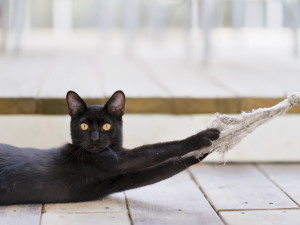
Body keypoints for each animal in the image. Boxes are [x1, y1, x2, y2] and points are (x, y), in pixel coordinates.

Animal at [0, 90, 220, 205]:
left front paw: (210, 149)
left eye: (106, 125)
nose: (95, 138)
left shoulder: (123, 178)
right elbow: (159, 149)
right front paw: (204, 137)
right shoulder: (117, 160)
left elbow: (167, 167)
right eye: (84, 126)